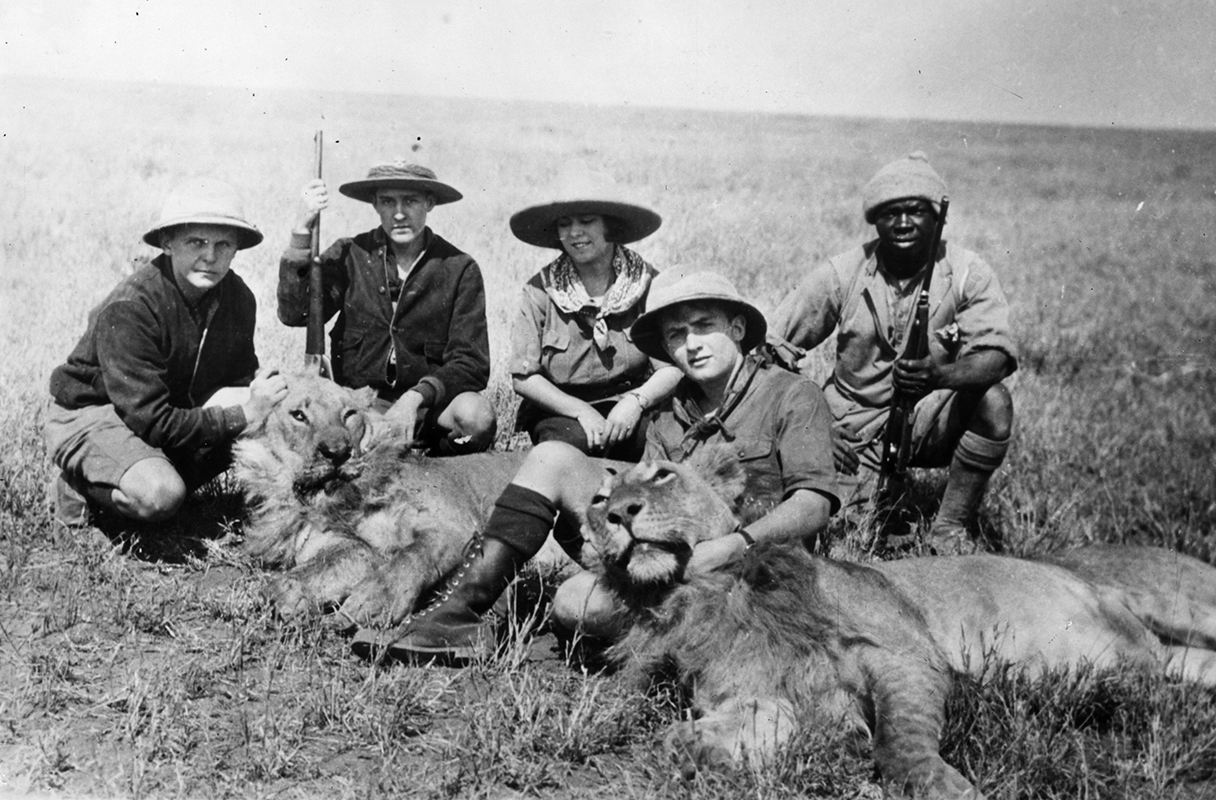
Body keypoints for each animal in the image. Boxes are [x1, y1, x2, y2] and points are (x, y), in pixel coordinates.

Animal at [234, 369, 525, 627]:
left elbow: (413, 555)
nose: (338, 452)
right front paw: (282, 594)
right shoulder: (344, 544)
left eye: (349, 414)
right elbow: (314, 569)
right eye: (298, 415)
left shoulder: (456, 525)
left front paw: (375, 602)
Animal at [590, 447, 1216, 797]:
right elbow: (726, 726)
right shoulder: (772, 690)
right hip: (1179, 663)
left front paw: (951, 789)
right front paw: (692, 746)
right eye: (599, 498)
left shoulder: (903, 654)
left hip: (1183, 604)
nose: (619, 512)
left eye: (663, 475)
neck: (701, 596)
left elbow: (900, 745)